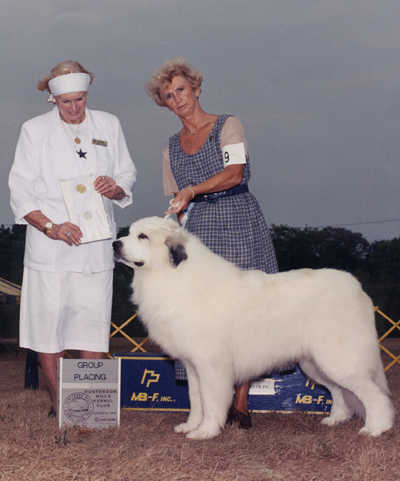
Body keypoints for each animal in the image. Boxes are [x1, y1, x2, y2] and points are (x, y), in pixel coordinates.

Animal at [112, 217, 394, 438]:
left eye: (143, 236)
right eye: (130, 232)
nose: (115, 244)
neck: (172, 276)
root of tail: (357, 289)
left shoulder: (211, 364)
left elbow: (211, 399)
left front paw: (206, 431)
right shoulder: (191, 365)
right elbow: (196, 399)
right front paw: (191, 426)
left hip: (338, 360)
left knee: (374, 395)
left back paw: (376, 428)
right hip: (315, 364)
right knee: (339, 392)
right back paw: (336, 419)